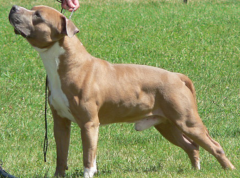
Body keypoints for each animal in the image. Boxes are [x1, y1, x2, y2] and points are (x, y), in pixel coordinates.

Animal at [8, 4, 234, 177]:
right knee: (192, 146)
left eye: (37, 15)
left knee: (215, 145)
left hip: (187, 121)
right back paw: (195, 170)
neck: (67, 64)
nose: (13, 7)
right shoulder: (60, 123)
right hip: (167, 125)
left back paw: (228, 169)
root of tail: (177, 76)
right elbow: (61, 156)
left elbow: (88, 157)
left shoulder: (89, 124)